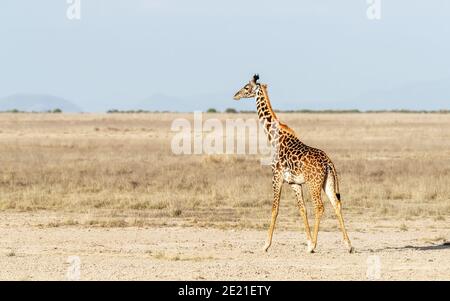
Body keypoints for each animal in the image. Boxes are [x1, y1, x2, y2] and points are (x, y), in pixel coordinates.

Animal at [234, 74, 354, 252]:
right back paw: (348, 245)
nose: (235, 95)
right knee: (336, 204)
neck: (274, 137)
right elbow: (302, 209)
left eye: (246, 87)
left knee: (319, 207)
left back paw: (314, 247)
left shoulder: (276, 177)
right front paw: (308, 241)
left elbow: (275, 209)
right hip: (328, 182)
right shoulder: (294, 183)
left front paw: (266, 245)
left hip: (314, 183)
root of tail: (328, 163)